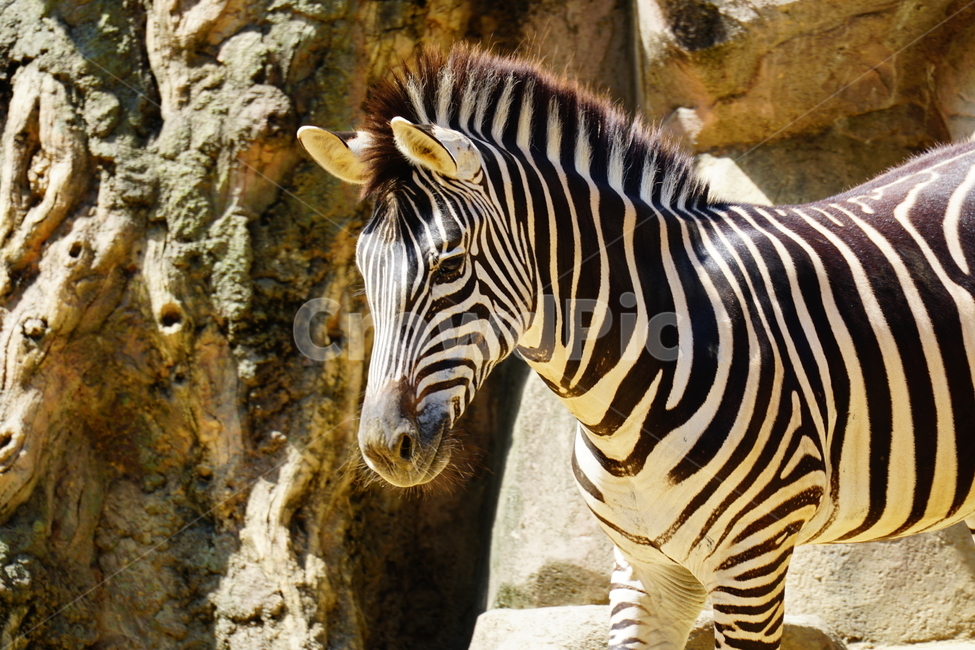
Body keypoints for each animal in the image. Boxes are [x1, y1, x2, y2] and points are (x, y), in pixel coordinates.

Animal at [297, 45, 975, 649]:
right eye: (364, 270)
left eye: (449, 264)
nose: (384, 448)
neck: (615, 410)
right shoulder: (647, 572)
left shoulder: (751, 562)